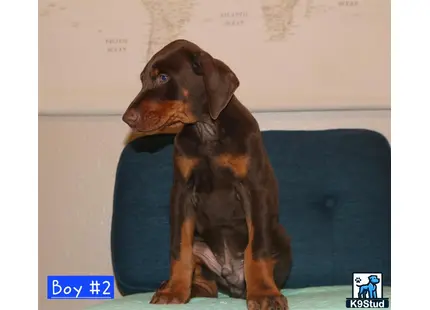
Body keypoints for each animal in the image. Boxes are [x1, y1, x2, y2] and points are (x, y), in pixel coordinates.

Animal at [122, 39, 294, 310]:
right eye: (143, 80)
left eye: (163, 77)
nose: (127, 118)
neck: (207, 129)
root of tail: (232, 281)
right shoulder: (182, 192)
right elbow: (178, 249)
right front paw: (175, 290)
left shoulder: (254, 189)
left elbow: (257, 250)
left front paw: (265, 294)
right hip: (200, 246)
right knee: (208, 285)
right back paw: (182, 287)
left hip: (280, 236)